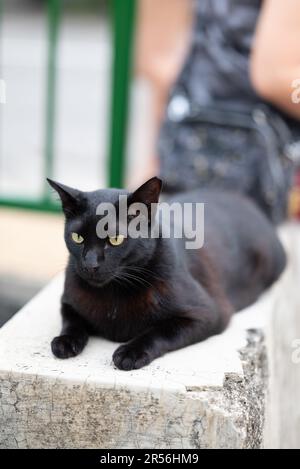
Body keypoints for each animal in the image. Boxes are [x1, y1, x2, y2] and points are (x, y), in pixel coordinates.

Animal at [47, 176, 286, 370]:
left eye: (115, 239)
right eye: (77, 238)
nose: (90, 264)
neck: (113, 294)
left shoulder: (208, 313)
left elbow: (160, 331)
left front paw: (131, 352)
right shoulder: (68, 300)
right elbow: (72, 320)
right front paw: (65, 341)